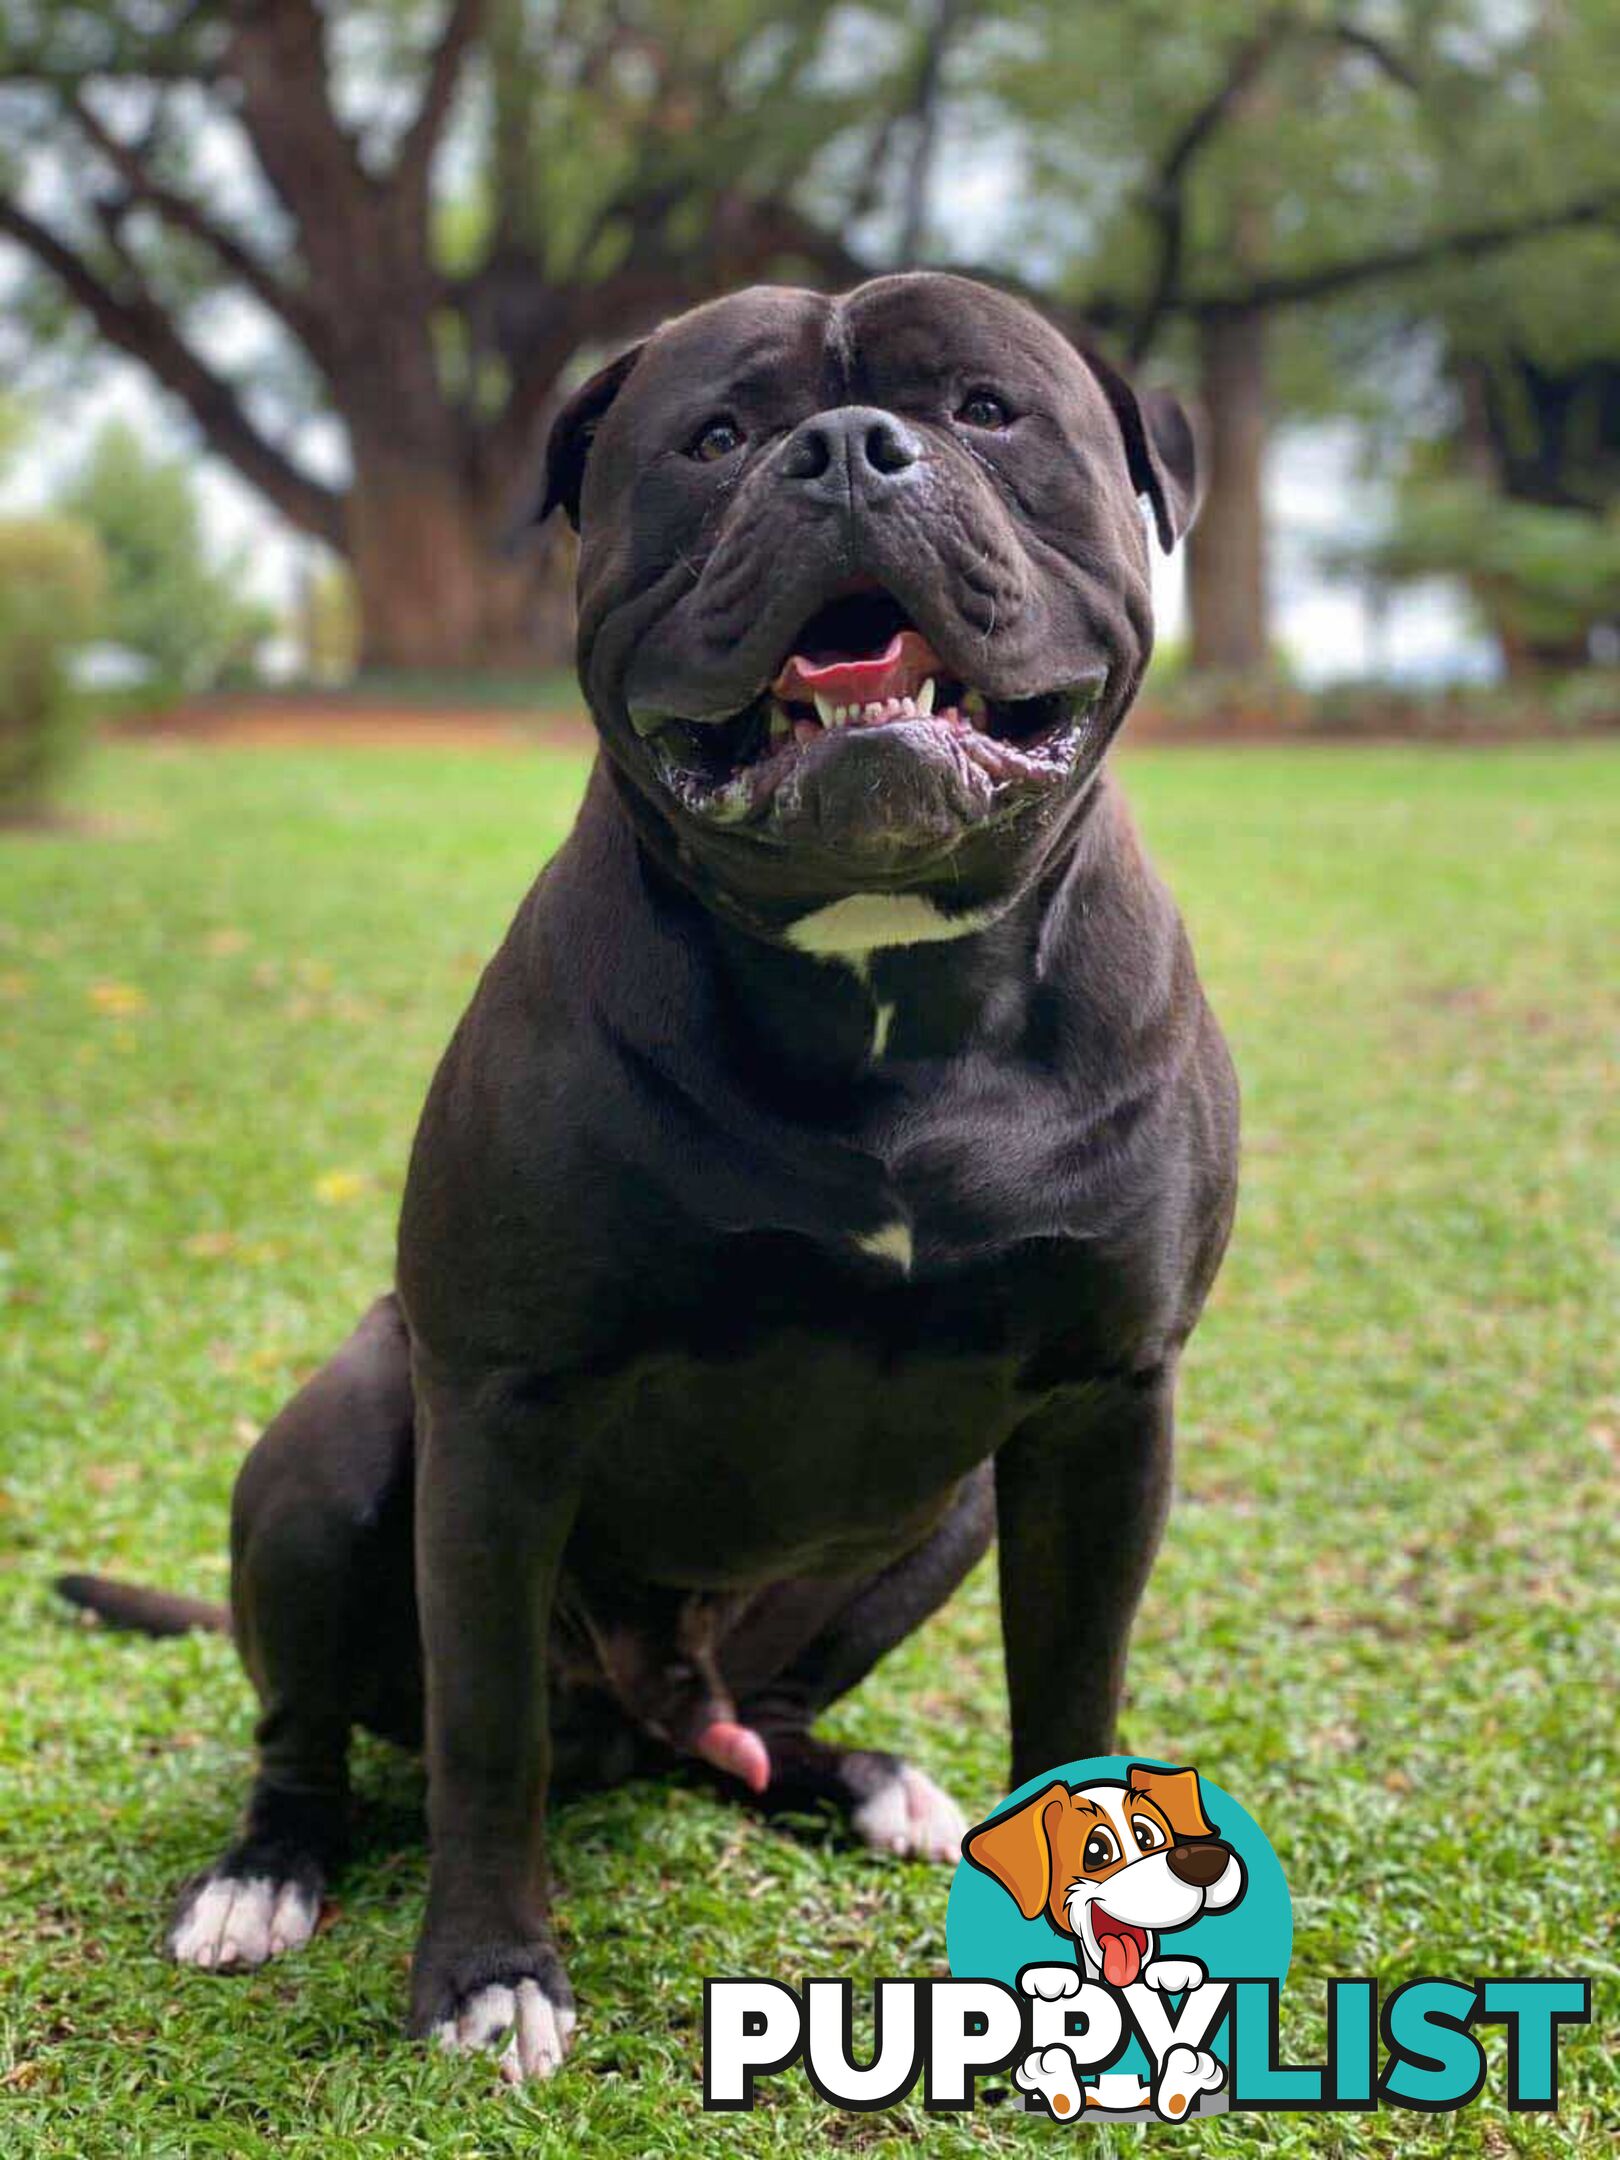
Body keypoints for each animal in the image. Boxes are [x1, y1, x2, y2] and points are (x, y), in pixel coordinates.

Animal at [54, 270, 1244, 2073]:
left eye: (985, 409)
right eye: (719, 435)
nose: (848, 446)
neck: (877, 975)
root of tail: (648, 1702)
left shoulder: (1107, 1408)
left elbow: (1074, 1691)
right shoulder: (502, 1404)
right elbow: (486, 1734)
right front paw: (488, 1973)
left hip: (948, 1510)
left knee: (754, 1719)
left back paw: (858, 1782)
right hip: (337, 1450)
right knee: (313, 1728)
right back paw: (265, 1876)